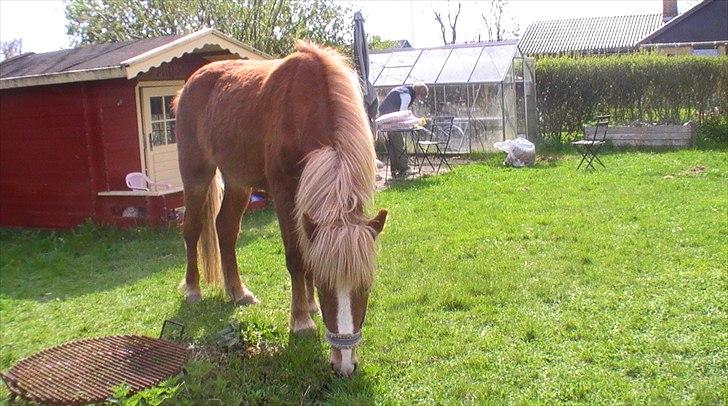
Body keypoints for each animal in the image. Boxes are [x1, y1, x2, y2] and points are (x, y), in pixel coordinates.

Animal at [172, 42, 386, 378]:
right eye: (325, 286)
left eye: (366, 286)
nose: (345, 365)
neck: (306, 105)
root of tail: (190, 84)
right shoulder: (285, 193)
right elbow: (296, 256)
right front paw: (301, 321)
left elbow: (309, 252)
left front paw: (309, 307)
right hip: (196, 175)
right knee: (192, 229)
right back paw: (193, 290)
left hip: (238, 181)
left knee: (226, 229)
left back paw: (238, 292)